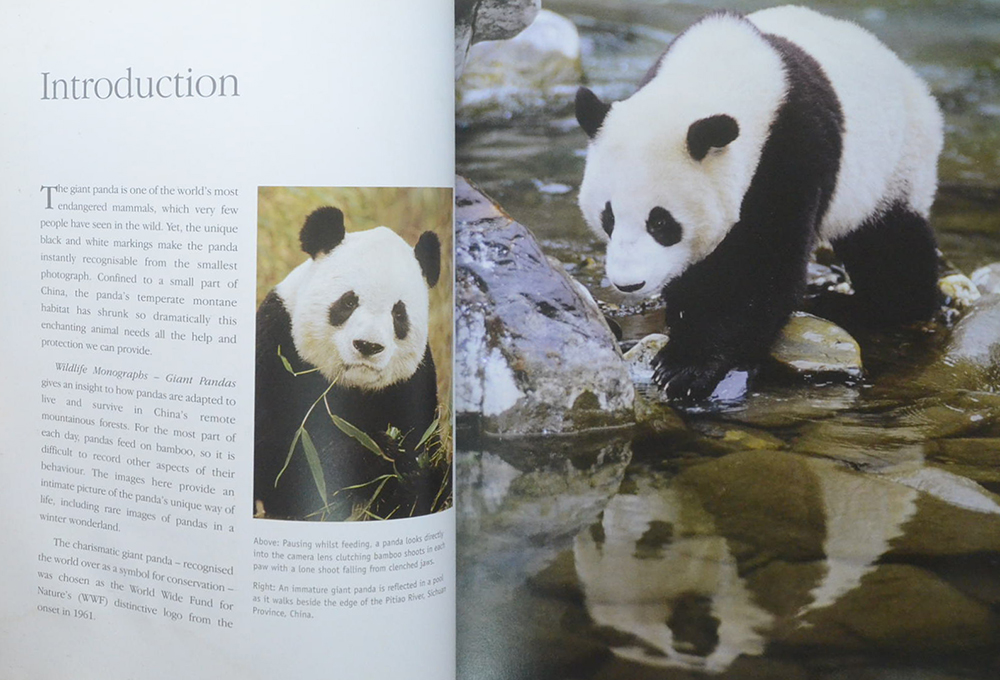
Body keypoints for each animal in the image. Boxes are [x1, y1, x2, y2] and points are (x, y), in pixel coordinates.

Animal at [254, 206, 443, 520]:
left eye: (399, 314)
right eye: (348, 302)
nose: (368, 346)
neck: (351, 386)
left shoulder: (413, 383)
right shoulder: (275, 349)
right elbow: (279, 458)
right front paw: (377, 454)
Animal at [576, 6, 943, 401]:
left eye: (660, 223)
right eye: (608, 217)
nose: (628, 284)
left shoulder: (792, 148)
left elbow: (760, 266)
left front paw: (685, 366)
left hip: (896, 164)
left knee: (891, 247)